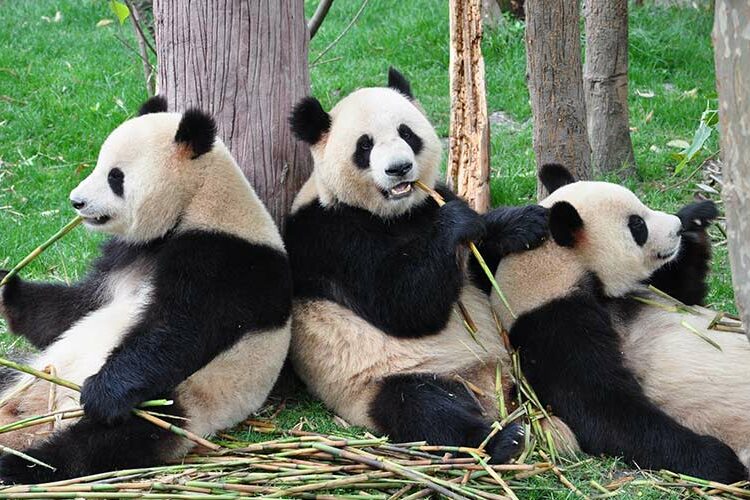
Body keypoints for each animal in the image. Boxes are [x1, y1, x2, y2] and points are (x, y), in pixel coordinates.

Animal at [0, 97, 292, 483]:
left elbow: (177, 330)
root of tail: (33, 417)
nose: (76, 201)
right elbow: (74, 309)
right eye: (98, 164)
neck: (197, 199)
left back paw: (20, 464)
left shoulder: (225, 259)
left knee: (102, 442)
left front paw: (100, 393)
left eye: (115, 177)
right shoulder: (126, 255)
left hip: (178, 401)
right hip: (27, 372)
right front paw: (6, 288)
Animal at [284, 68, 550, 463]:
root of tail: (492, 389)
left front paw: (526, 222)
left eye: (407, 133)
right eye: (364, 146)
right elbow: (401, 305)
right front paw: (456, 223)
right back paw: (502, 439)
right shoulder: (329, 237)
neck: (393, 214)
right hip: (384, 382)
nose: (399, 168)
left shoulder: (428, 201)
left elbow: (478, 258)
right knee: (423, 408)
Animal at [490, 163, 749, 482]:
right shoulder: (551, 323)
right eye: (637, 225)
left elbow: (686, 296)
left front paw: (697, 217)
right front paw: (718, 459)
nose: (676, 227)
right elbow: (600, 408)